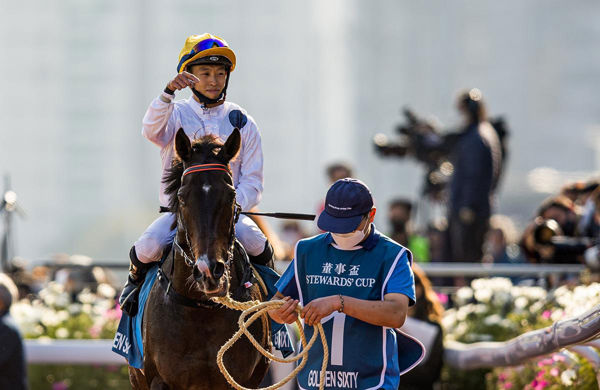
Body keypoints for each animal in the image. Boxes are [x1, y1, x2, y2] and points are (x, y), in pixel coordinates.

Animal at [131, 127, 272, 386]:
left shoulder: (241, 380)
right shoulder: (158, 380)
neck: (202, 308)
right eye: (182, 197)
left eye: (231, 195)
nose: (208, 271)